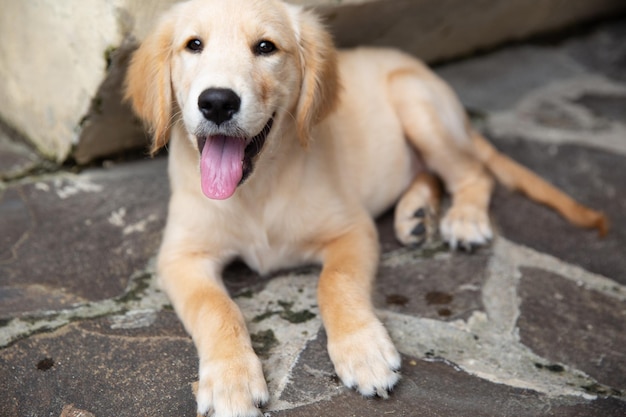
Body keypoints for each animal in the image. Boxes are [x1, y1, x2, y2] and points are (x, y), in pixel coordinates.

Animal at [123, 1, 604, 414]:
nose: (218, 102)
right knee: (429, 173)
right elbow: (215, 308)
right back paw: (415, 213)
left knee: (472, 173)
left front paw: (363, 351)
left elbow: (335, 283)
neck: (256, 190)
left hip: (416, 101)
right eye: (193, 45)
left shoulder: (351, 230)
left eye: (265, 47)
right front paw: (230, 380)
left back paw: (463, 218)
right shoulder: (181, 256)